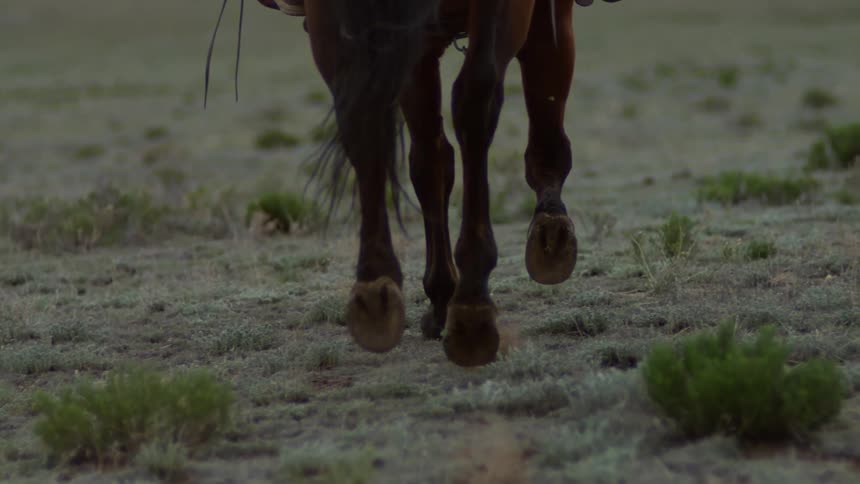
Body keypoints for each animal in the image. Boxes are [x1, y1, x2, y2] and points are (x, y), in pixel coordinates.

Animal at [266, 0, 619, 366]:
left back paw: (377, 292)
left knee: (372, 118)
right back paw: (471, 306)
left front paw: (440, 295)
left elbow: (430, 161)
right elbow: (545, 75)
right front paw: (551, 230)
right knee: (474, 102)